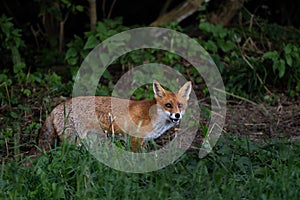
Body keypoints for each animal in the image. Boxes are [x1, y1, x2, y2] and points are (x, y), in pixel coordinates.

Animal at [38, 79, 192, 152]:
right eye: (168, 105)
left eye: (180, 105)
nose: (177, 115)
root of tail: (56, 107)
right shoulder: (134, 140)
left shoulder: (144, 142)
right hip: (75, 141)